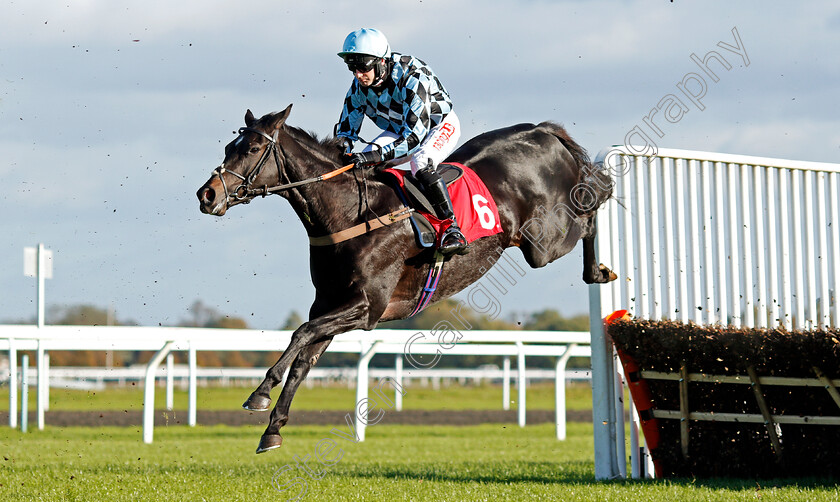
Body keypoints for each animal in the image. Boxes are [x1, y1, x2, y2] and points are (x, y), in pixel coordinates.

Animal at [197, 104, 616, 452]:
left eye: (252, 149)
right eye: (227, 147)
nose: (207, 195)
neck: (350, 214)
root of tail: (542, 130)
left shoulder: (367, 308)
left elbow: (300, 333)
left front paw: (260, 393)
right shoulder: (331, 305)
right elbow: (303, 359)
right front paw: (273, 430)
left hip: (542, 242)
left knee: (591, 207)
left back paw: (599, 263)